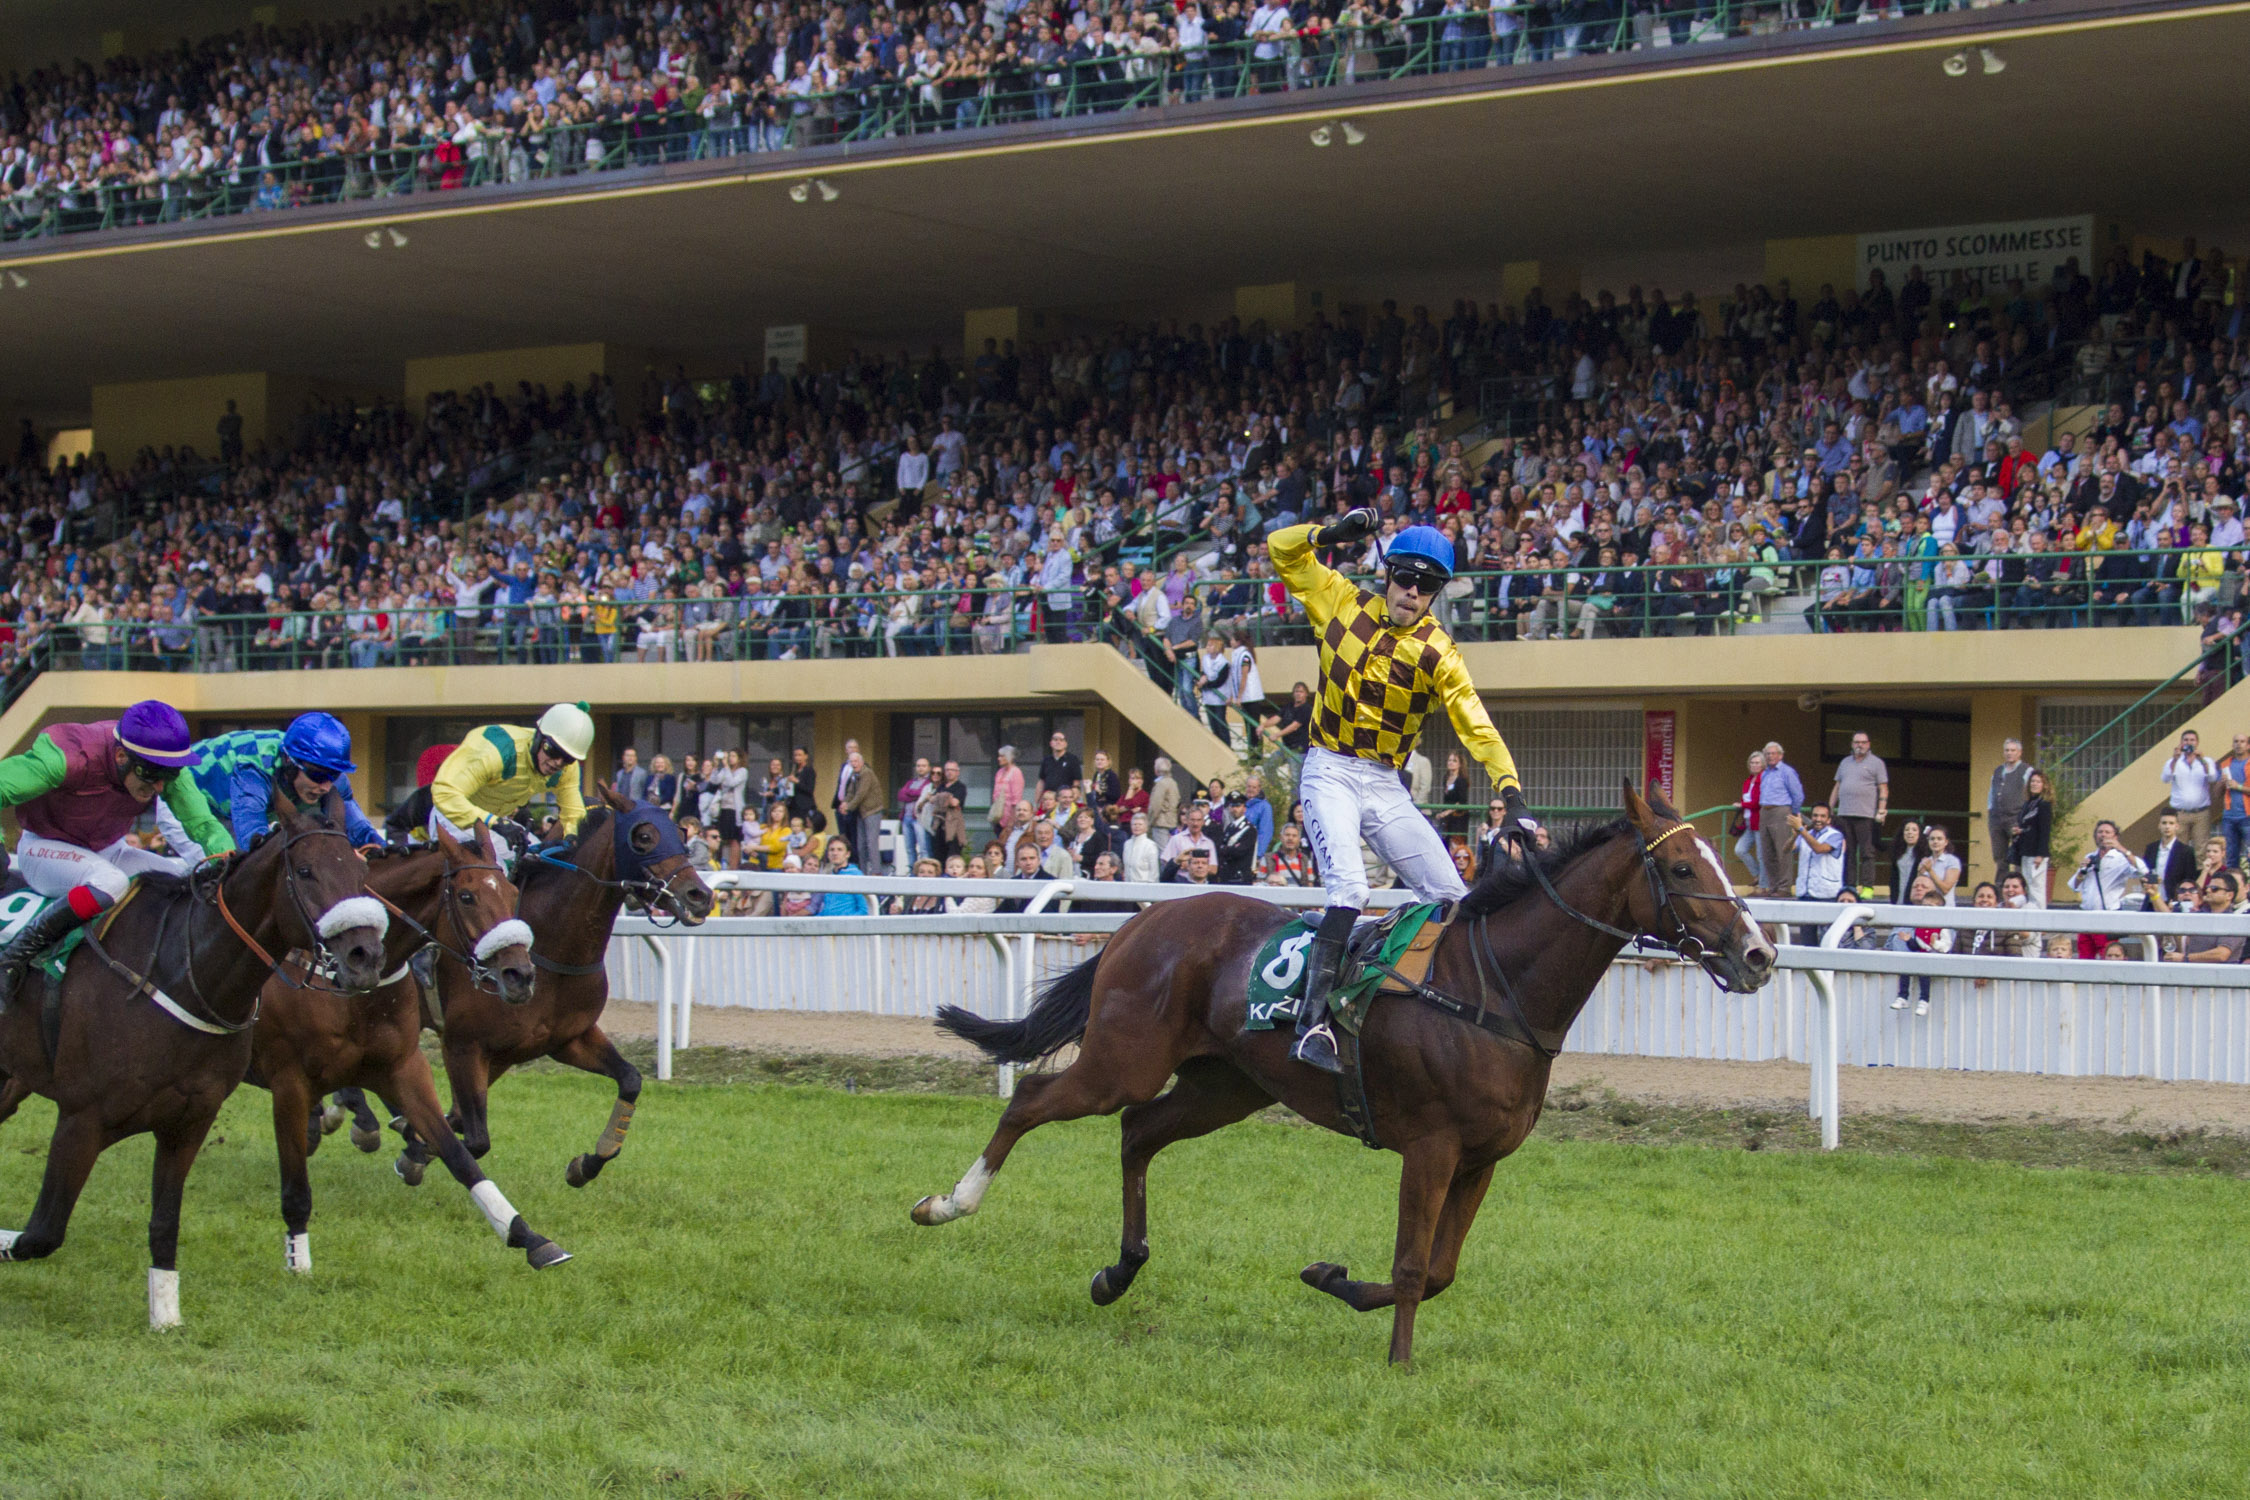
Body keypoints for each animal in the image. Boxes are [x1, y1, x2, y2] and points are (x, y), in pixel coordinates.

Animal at [0, 791, 382, 1331]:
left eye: (361, 871)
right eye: (306, 871)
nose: (364, 955)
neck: (181, 973)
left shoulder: (188, 1121)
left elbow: (164, 1222)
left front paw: (165, 1316)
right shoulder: (81, 1119)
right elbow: (41, 1232)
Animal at [247, 827, 571, 1277]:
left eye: (510, 891)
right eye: (466, 896)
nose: (520, 974)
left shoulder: (405, 1068)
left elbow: (460, 1154)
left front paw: (530, 1238)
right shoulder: (290, 1079)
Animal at [391, 787, 711, 1196]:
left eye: (681, 833)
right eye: (643, 837)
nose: (700, 895)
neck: (549, 951)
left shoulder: (565, 1039)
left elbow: (630, 1080)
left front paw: (586, 1164)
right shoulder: (463, 1045)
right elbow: (473, 1139)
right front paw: (414, 1149)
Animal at [909, 791, 1773, 1367]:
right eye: (1680, 866)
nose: (1760, 953)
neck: (1496, 989)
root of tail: (1142, 920)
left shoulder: (1482, 1159)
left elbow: (1441, 1271)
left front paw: (1331, 1277)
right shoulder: (1431, 1145)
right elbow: (1415, 1265)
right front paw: (1400, 1363)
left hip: (1226, 1085)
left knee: (1138, 1132)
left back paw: (1116, 1273)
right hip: (1124, 1060)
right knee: (1033, 1100)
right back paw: (946, 1204)